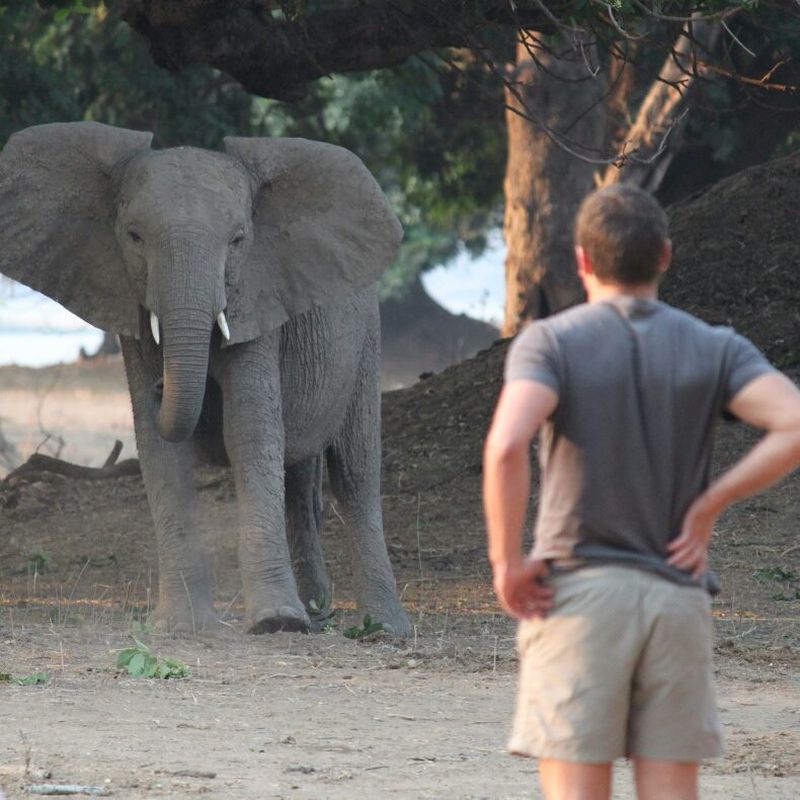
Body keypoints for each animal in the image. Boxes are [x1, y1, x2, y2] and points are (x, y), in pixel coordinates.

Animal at [0, 121, 412, 637]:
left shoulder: (256, 297)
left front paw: (276, 623)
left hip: (367, 341)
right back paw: (319, 613)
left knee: (355, 473)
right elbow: (158, 446)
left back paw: (383, 629)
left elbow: (248, 430)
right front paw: (181, 626)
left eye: (238, 240)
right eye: (134, 236)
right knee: (299, 480)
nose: (162, 387)